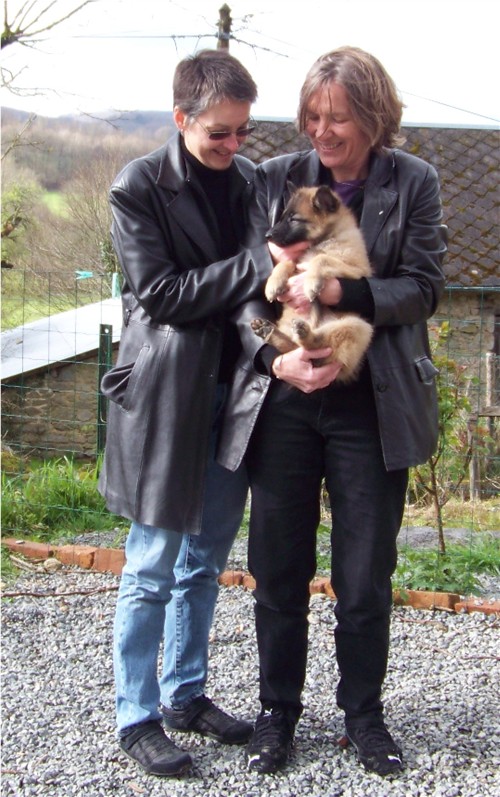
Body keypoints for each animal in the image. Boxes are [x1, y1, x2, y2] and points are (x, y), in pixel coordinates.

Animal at [252, 184, 374, 382]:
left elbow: (322, 259)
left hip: (358, 327)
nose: (267, 235)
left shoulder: (359, 270)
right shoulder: (297, 263)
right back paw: (268, 330)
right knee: (293, 348)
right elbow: (287, 262)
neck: (323, 240)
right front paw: (273, 284)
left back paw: (305, 333)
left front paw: (311, 283)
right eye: (283, 217)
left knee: (316, 347)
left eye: (294, 219)